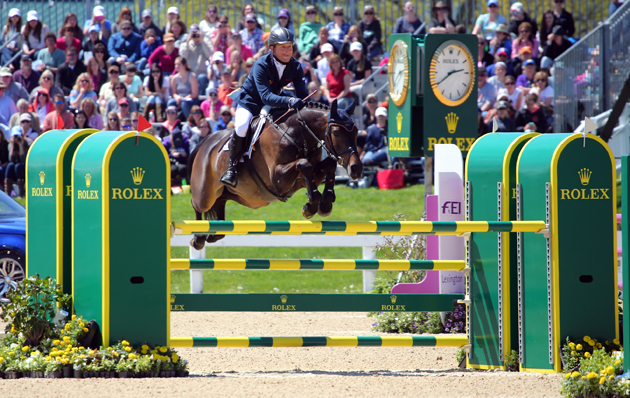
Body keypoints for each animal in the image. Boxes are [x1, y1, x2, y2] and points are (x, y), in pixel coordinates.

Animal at [188, 98, 366, 249]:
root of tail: (205, 141)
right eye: (336, 133)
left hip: (234, 194)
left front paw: (324, 203)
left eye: (356, 131)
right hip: (205, 194)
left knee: (219, 203)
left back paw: (213, 234)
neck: (295, 133)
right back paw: (198, 238)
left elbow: (328, 164)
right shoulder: (278, 179)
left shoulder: (304, 178)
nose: (356, 169)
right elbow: (304, 164)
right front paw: (311, 206)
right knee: (196, 203)